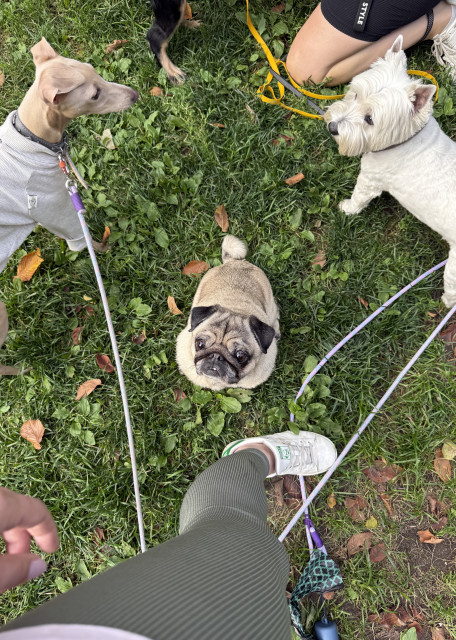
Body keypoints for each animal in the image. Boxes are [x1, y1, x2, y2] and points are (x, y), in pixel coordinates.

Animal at [324, 35, 456, 308]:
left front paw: (347, 208)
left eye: (370, 119)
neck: (407, 139)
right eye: (355, 94)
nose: (332, 127)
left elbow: (359, 198)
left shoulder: (370, 179)